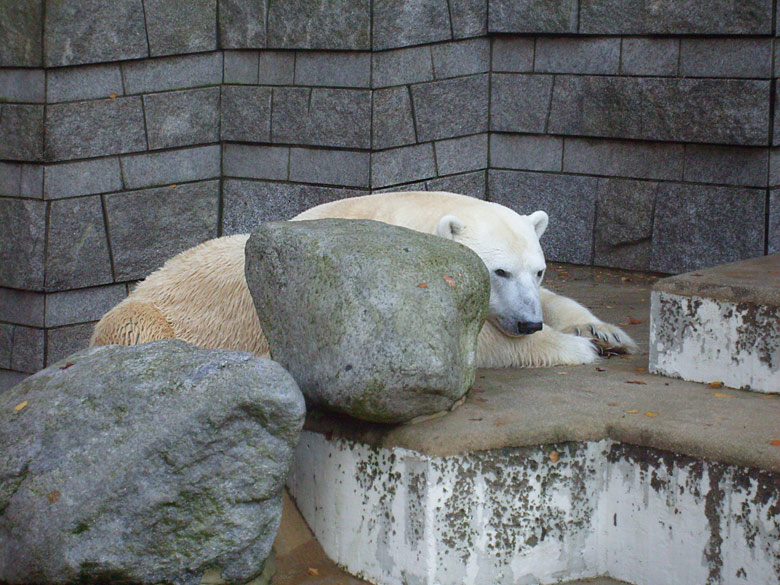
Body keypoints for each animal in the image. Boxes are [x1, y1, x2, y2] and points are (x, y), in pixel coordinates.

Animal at [91, 192, 636, 364]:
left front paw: (604, 332)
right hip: (144, 317)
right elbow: (469, 345)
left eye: (537, 268)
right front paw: (578, 348)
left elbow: (558, 300)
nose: (527, 323)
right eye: (498, 270)